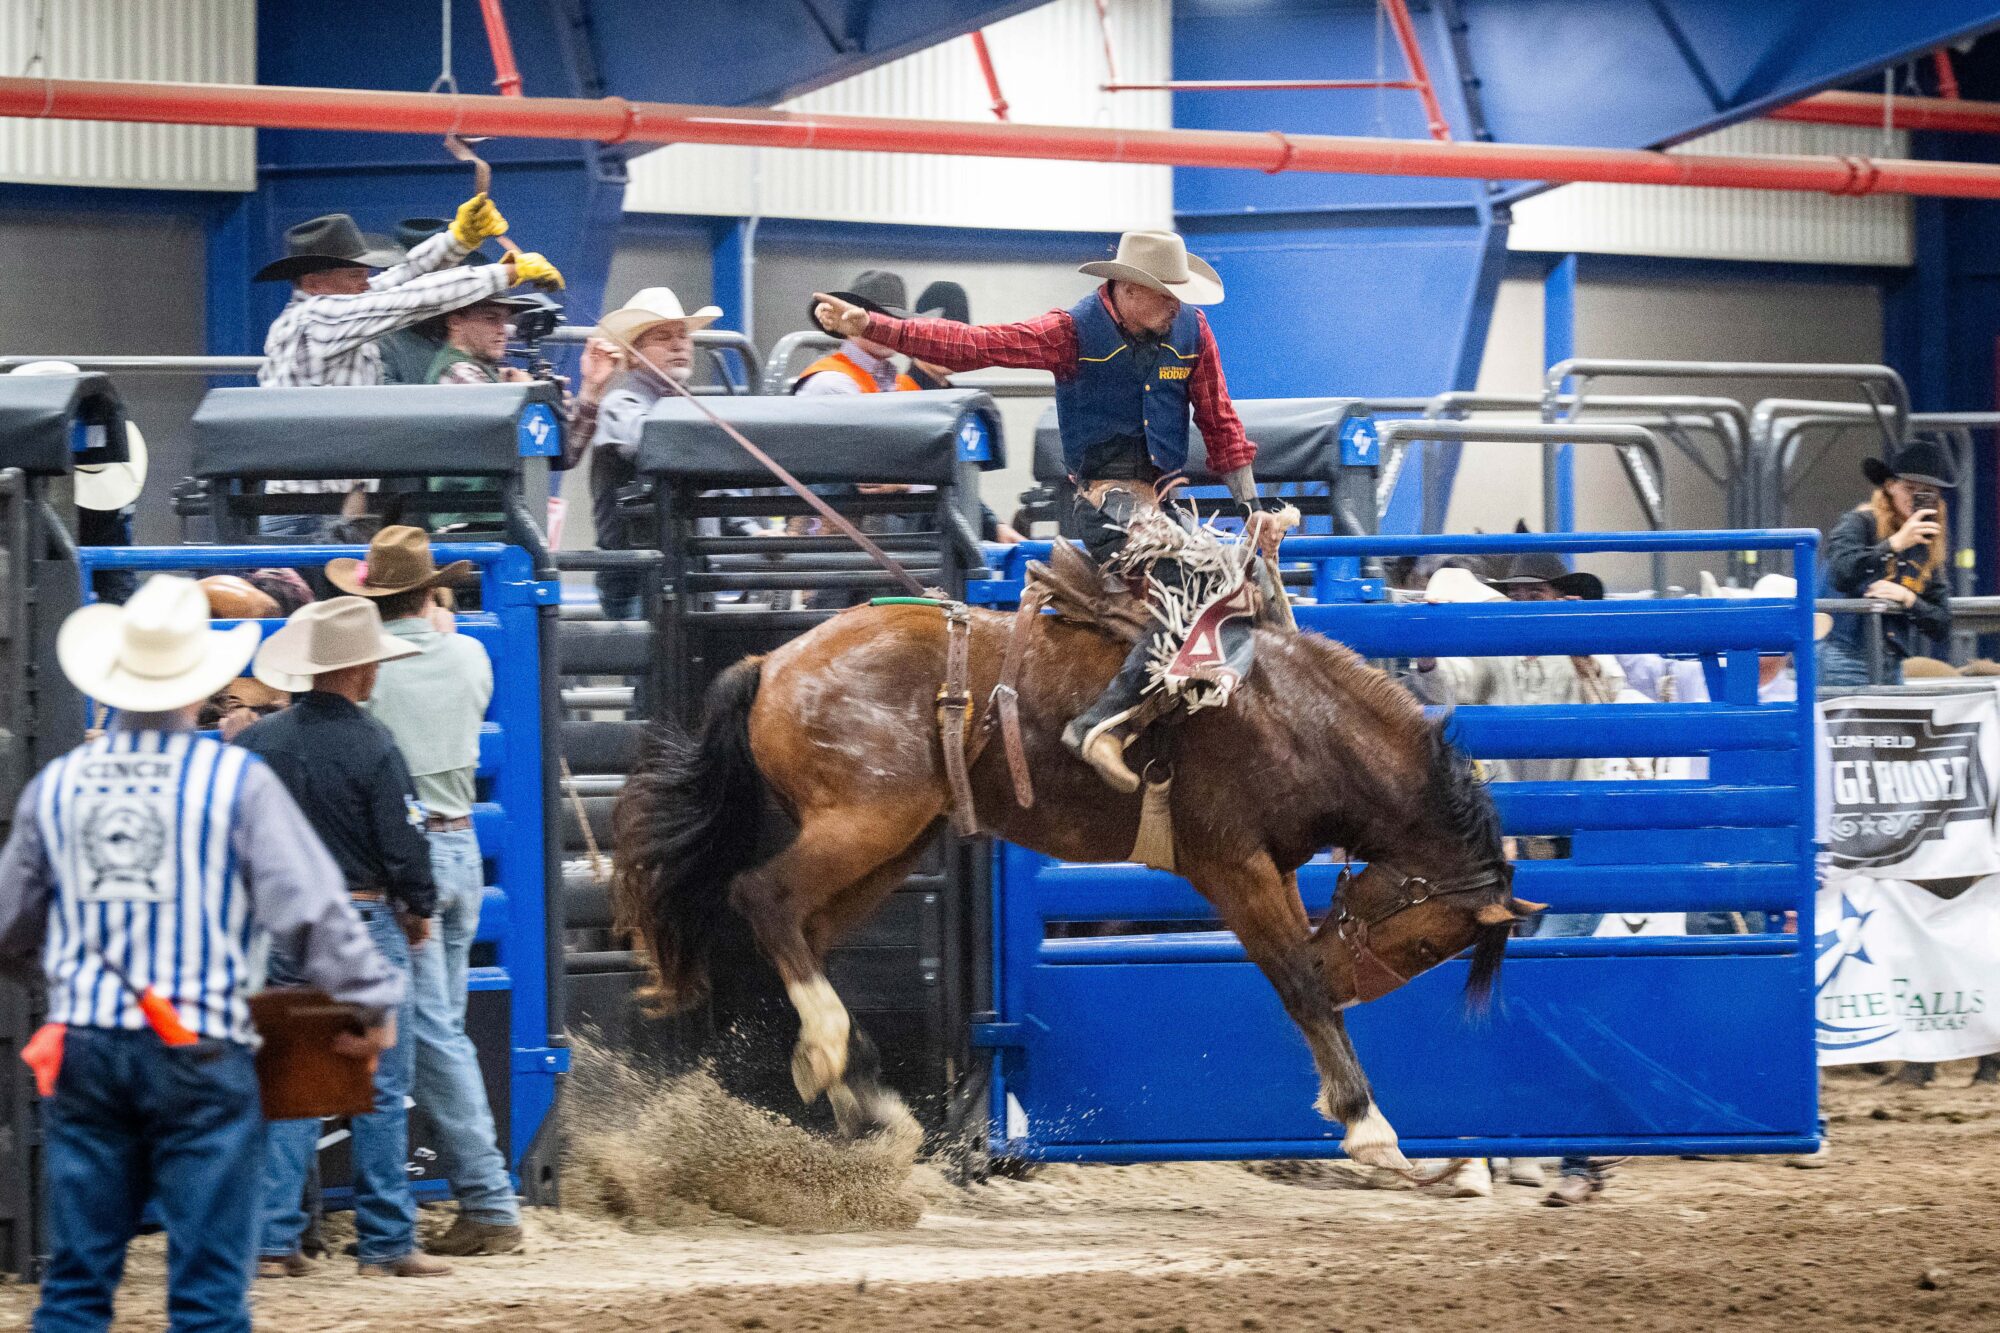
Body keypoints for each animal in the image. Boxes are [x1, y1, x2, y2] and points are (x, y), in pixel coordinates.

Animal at [611, 600, 1540, 1170]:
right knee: (765, 899)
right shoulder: (1232, 865)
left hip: (896, 838)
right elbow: (1296, 983)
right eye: (1431, 937)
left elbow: (1296, 976)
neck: (1297, 718)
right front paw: (1368, 1124)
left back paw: (853, 1085)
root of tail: (773, 660)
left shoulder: (1268, 869)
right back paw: (842, 1059)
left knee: (805, 928)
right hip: (865, 821)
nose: (1354, 978)